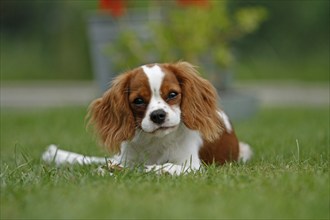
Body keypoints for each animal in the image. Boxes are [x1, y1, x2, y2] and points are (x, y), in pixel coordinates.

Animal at [42, 61, 251, 174]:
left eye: (173, 94)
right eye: (139, 101)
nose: (158, 115)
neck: (156, 142)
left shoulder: (193, 164)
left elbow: (171, 166)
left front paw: (156, 169)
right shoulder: (126, 159)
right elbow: (110, 165)